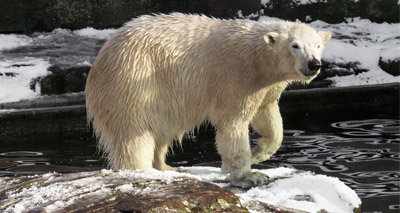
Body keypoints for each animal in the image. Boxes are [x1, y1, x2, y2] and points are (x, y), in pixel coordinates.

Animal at [86, 12, 332, 188]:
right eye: (295, 45)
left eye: (318, 45)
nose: (314, 64)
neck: (257, 59)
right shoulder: (235, 77)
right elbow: (233, 124)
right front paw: (250, 176)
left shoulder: (266, 86)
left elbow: (267, 116)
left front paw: (257, 154)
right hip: (133, 84)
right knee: (134, 136)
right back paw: (140, 171)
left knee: (162, 130)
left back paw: (169, 168)